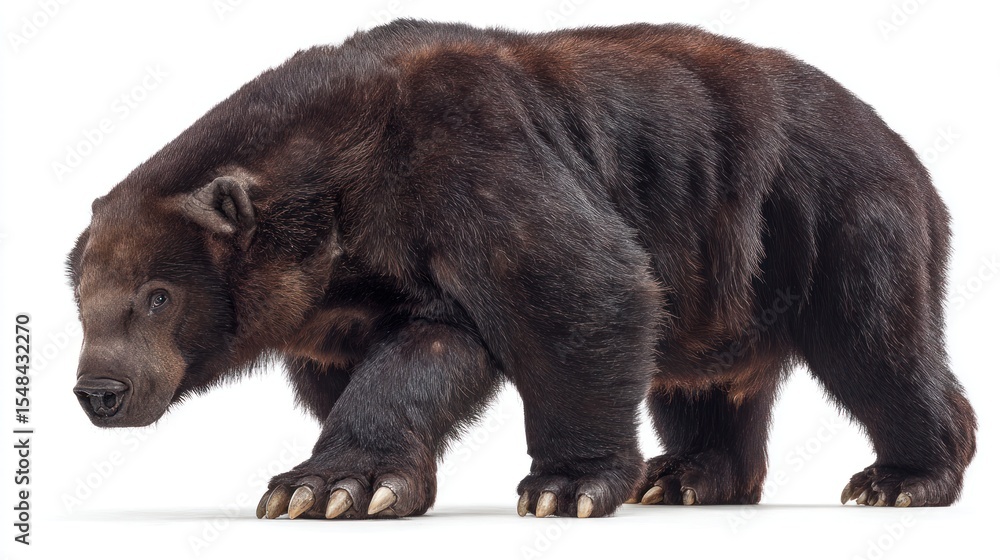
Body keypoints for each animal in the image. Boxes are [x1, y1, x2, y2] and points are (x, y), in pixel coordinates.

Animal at [67, 20, 976, 519]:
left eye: (157, 295)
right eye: (83, 300)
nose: (100, 391)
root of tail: (908, 150)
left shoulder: (476, 153)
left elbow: (581, 288)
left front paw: (564, 486)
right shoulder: (343, 294)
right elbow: (405, 353)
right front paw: (343, 484)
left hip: (832, 214)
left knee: (877, 346)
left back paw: (906, 474)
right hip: (728, 272)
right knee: (703, 381)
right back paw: (687, 473)